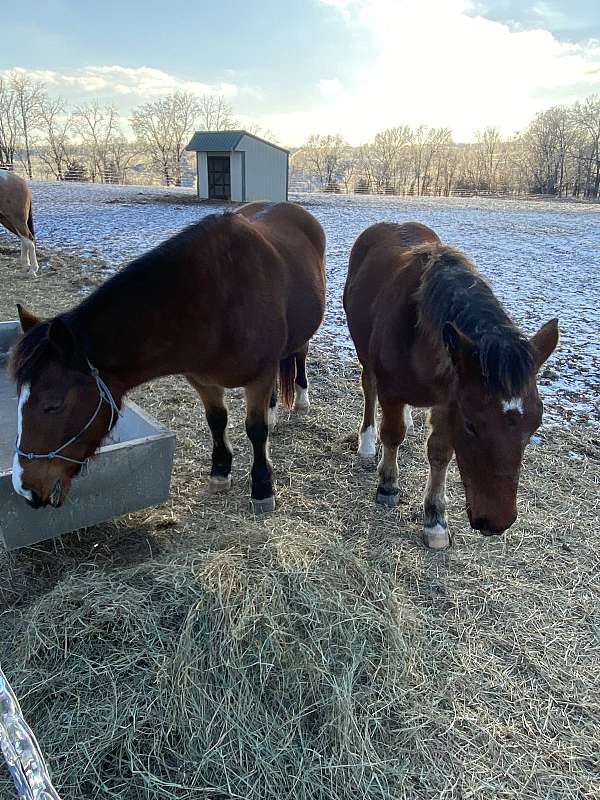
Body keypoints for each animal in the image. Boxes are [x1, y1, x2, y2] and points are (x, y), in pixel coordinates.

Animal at [9, 203, 326, 510]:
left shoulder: (259, 377)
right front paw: (220, 471)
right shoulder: (202, 380)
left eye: (53, 405)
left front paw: (262, 487)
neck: (218, 300)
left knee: (300, 355)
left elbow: (256, 430)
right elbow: (217, 420)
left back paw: (301, 399)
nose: (25, 488)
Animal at [344, 223, 560, 552]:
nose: (496, 522)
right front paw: (388, 485)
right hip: (364, 353)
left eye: (535, 424)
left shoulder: (449, 401)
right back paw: (368, 442)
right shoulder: (393, 391)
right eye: (471, 424)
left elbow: (440, 452)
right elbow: (392, 435)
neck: (419, 334)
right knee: (369, 388)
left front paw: (435, 519)